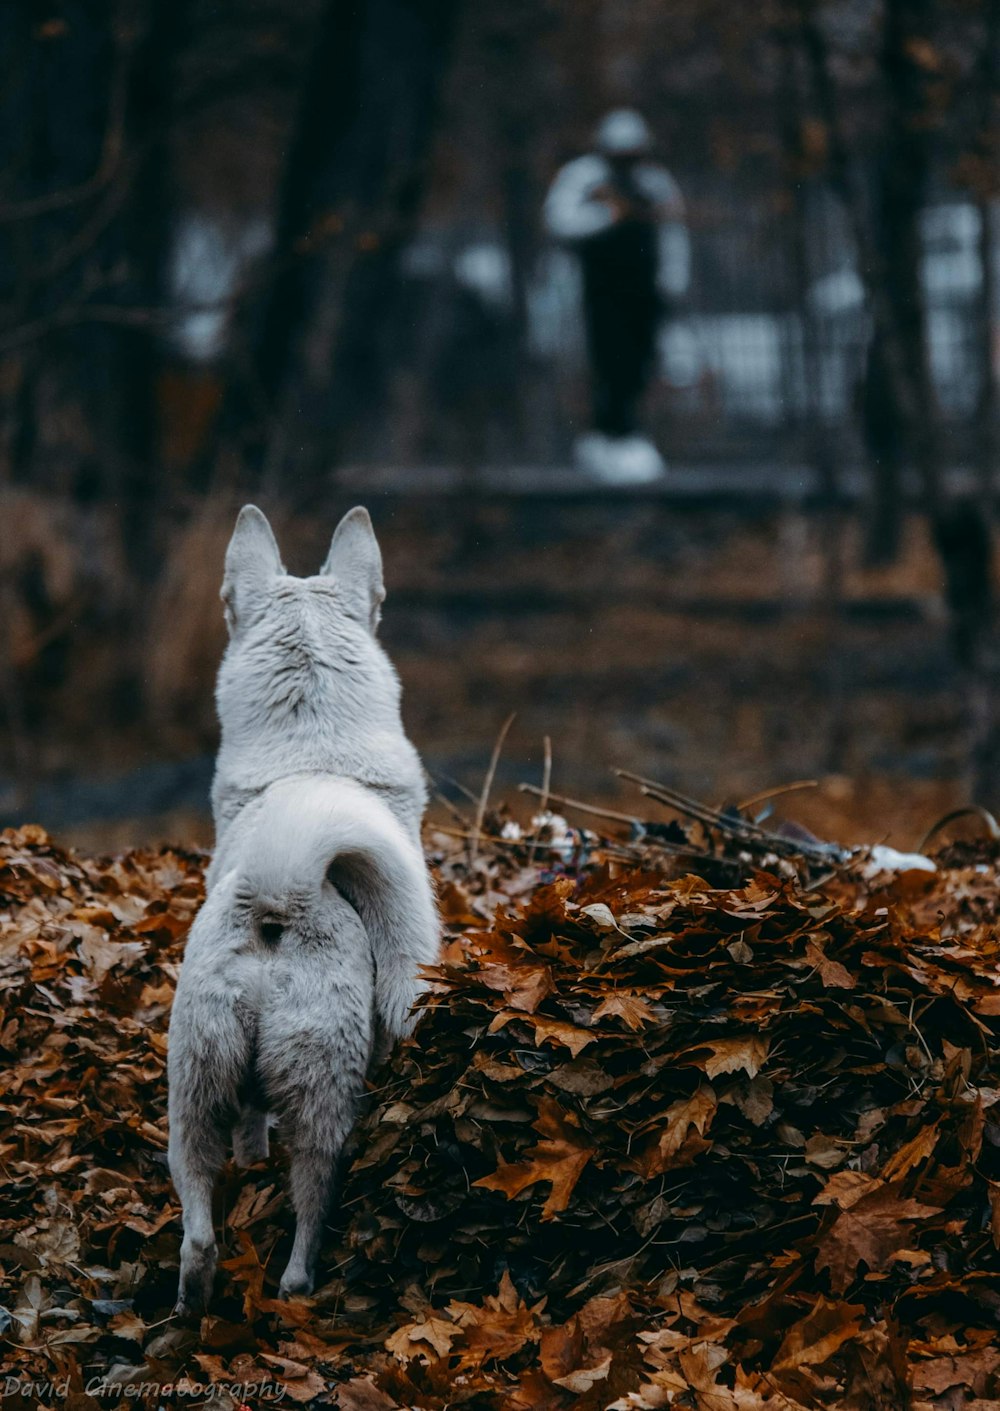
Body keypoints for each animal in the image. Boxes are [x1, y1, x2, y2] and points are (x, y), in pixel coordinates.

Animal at [167, 505, 437, 1309]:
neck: (311, 752)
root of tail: (282, 897)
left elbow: (252, 1123)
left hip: (193, 1081)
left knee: (198, 1218)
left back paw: (191, 1298)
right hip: (324, 1097)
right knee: (311, 1200)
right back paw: (297, 1283)